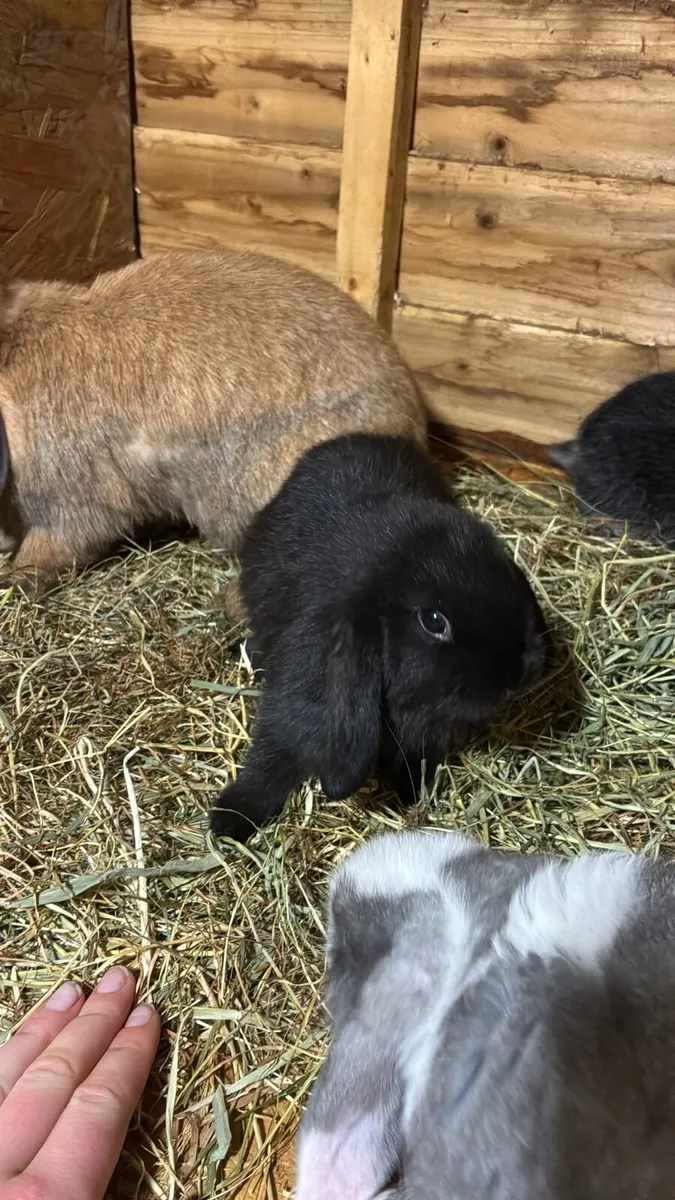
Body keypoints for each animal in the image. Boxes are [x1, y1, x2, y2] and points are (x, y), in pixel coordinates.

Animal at [209, 434, 550, 842]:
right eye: (433, 620)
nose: (520, 673)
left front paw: (413, 791)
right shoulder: (295, 699)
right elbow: (271, 757)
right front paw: (230, 817)